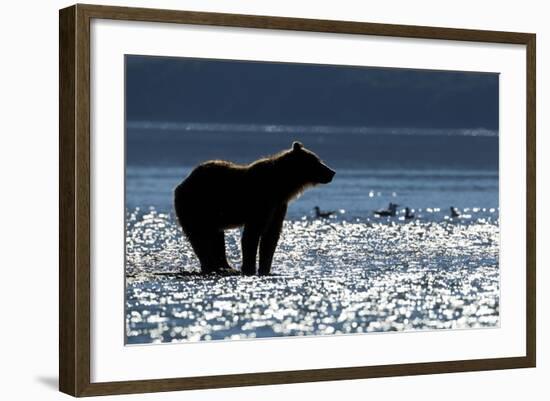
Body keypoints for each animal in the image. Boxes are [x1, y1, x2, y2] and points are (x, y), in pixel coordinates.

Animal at [175, 141, 334, 276]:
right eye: (317, 161)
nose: (332, 172)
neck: (282, 186)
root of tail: (183, 182)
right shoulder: (261, 203)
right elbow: (252, 234)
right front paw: (249, 268)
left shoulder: (278, 206)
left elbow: (270, 237)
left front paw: (265, 269)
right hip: (196, 206)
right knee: (199, 237)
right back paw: (211, 266)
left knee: (216, 237)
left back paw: (224, 266)